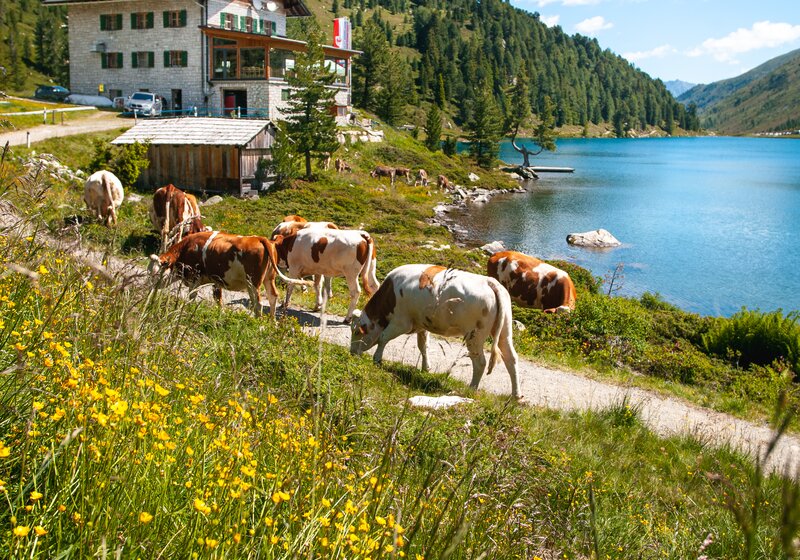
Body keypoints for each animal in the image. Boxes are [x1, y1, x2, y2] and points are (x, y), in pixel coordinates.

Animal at [148, 231, 310, 320]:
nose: (149, 288)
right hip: (268, 279)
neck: (187, 249)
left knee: (258, 303)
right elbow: (218, 299)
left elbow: (191, 297)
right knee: (272, 297)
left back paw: (258, 324)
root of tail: (259, 238)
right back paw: (272, 322)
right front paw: (220, 314)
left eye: (155, 272)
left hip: (253, 282)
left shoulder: (195, 279)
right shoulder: (216, 280)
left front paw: (186, 310)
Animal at [348, 266, 520, 400]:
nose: (351, 353)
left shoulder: (401, 322)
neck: (390, 294)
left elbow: (383, 338)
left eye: (356, 332)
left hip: (474, 335)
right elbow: (423, 346)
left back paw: (471, 388)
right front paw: (426, 368)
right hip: (505, 332)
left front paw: (377, 359)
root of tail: (489, 282)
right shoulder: (421, 325)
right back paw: (515, 396)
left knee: (480, 362)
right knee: (511, 358)